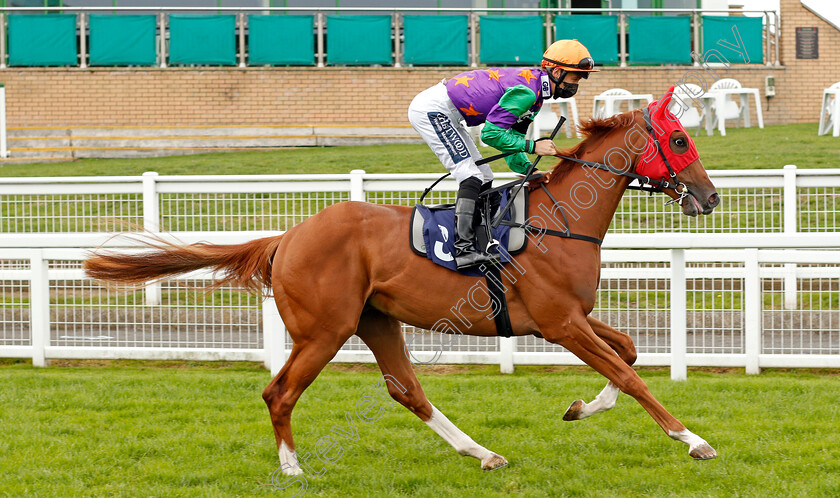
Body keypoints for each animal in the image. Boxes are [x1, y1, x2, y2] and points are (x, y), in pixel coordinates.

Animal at [85, 104, 720, 474]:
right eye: (679, 140)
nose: (710, 198)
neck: (558, 219)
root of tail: (288, 236)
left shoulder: (568, 317)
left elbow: (628, 354)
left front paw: (580, 407)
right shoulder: (559, 323)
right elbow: (631, 375)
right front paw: (692, 439)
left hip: (377, 320)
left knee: (406, 390)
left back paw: (482, 453)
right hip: (324, 330)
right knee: (279, 393)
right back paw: (292, 469)